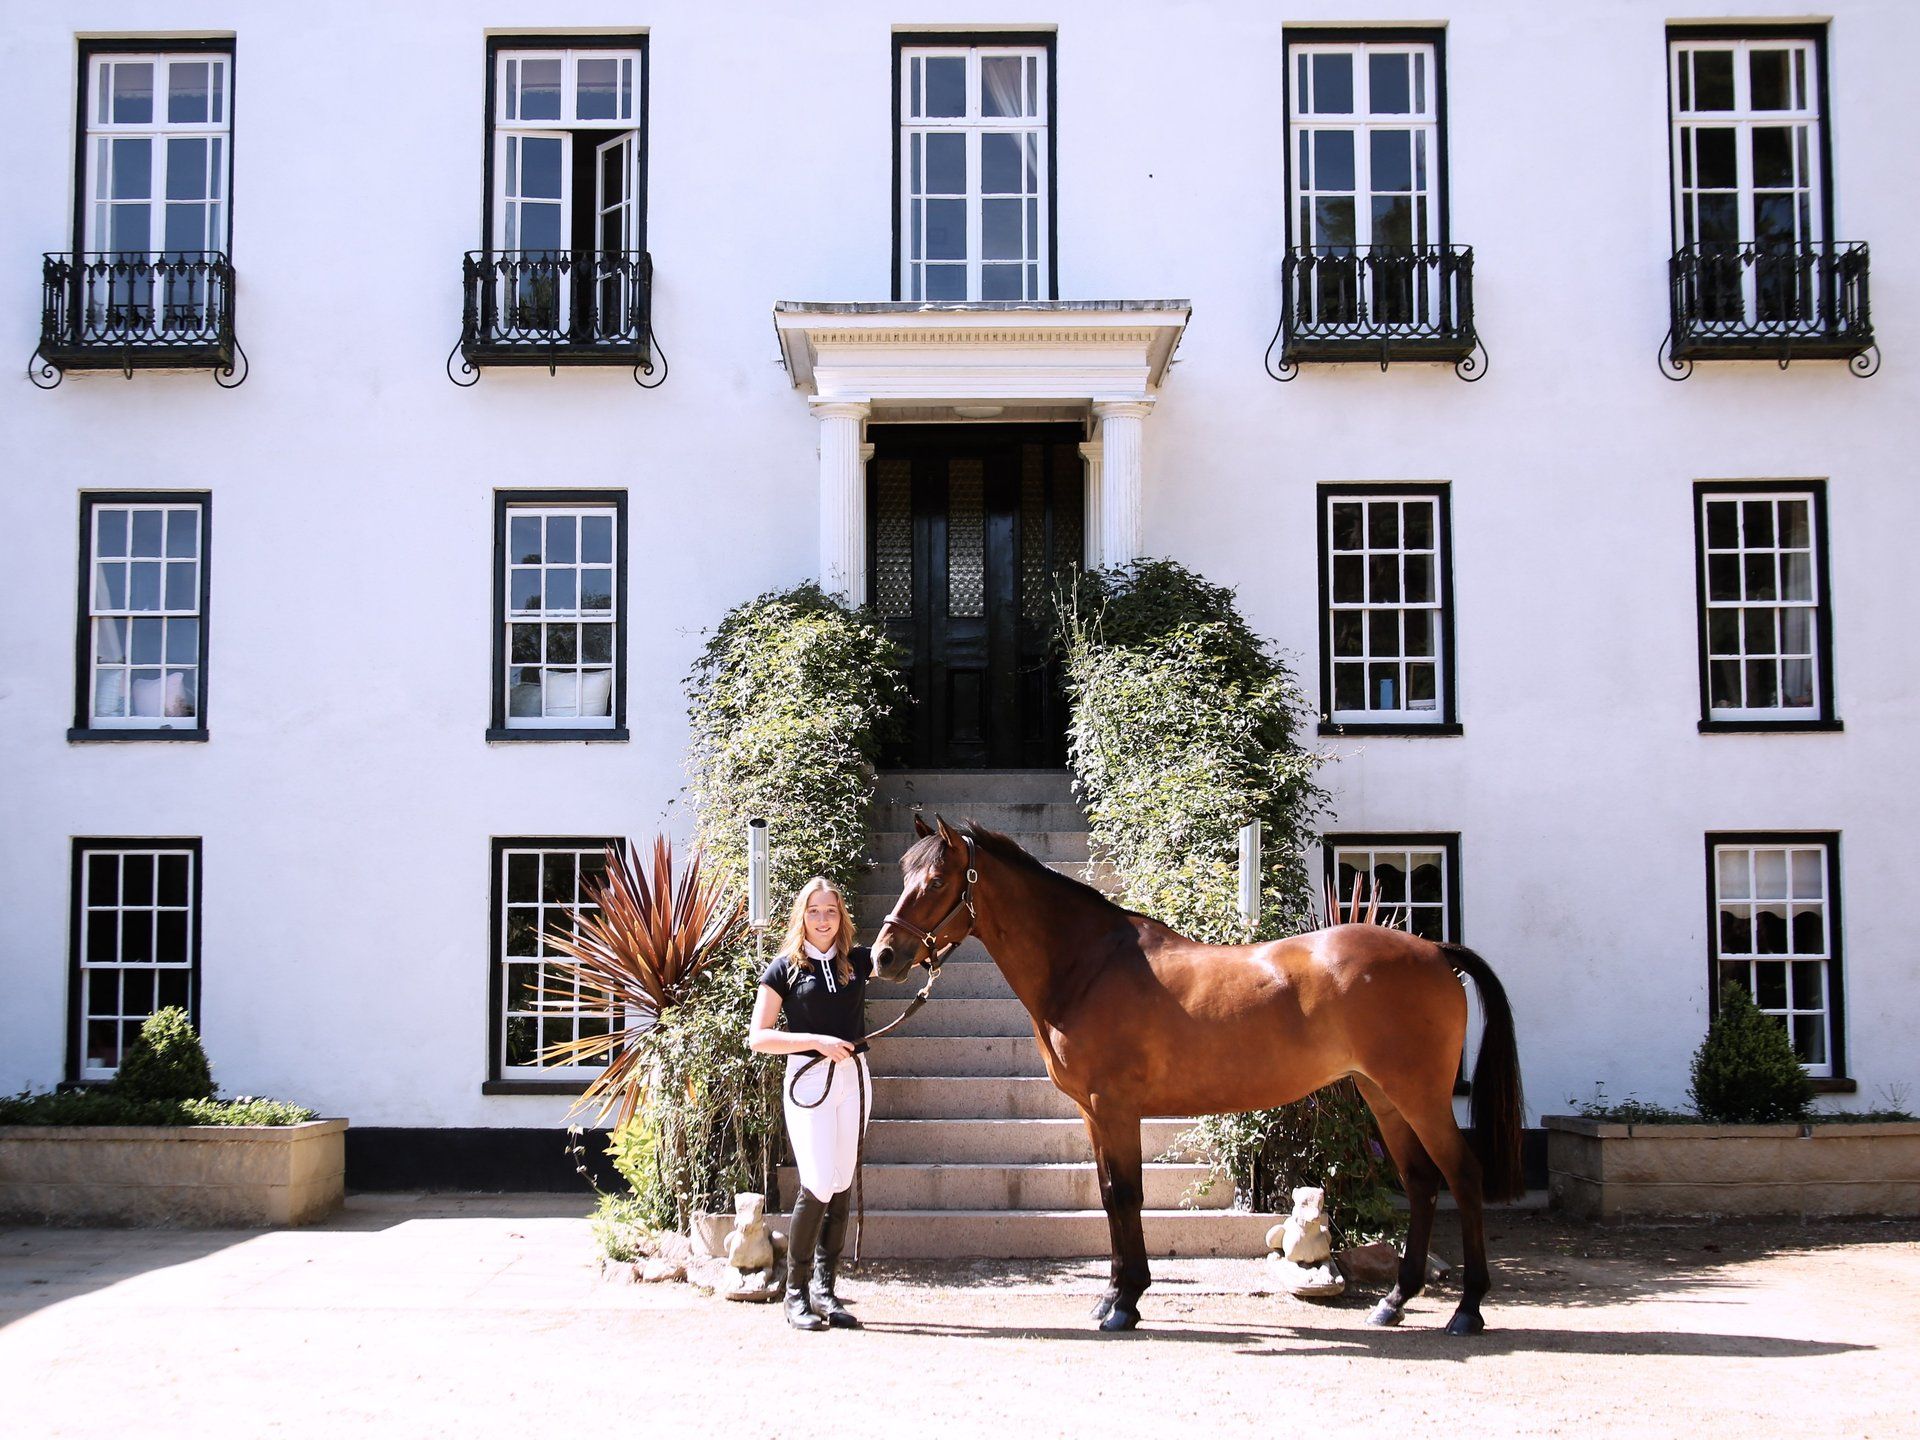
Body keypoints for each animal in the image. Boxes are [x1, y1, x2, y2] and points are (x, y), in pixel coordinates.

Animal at [873, 816, 1525, 1336]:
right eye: (905, 876)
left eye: (936, 881)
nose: (883, 956)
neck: (1087, 966)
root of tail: (1435, 951)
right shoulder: (1093, 1112)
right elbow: (1109, 1195)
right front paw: (1114, 1297)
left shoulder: (1115, 1108)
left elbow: (1124, 1195)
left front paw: (1124, 1303)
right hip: (1383, 1096)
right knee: (1420, 1182)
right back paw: (1393, 1301)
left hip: (1420, 1096)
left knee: (1461, 1175)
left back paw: (1467, 1310)